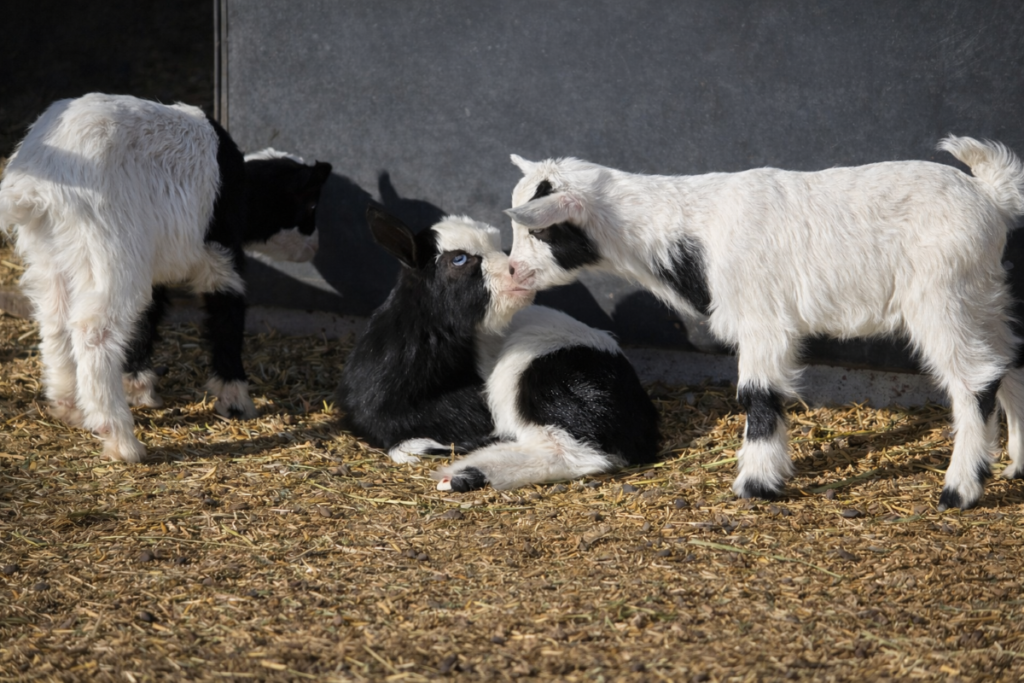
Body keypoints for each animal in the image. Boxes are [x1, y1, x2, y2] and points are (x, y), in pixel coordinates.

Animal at [0, 93, 332, 462]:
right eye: (310, 207)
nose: (315, 246)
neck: (239, 184)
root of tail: (35, 186)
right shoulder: (220, 253)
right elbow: (227, 313)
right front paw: (235, 399)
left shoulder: (155, 262)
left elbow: (148, 316)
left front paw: (138, 386)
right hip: (111, 251)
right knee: (93, 331)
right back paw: (120, 439)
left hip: (52, 256)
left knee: (55, 321)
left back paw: (68, 405)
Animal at [505, 137, 1024, 509]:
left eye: (539, 230)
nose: (511, 272)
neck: (690, 229)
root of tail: (990, 198)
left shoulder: (763, 318)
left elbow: (756, 395)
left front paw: (756, 483)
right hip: (983, 295)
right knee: (1009, 363)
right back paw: (1016, 466)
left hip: (941, 295)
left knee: (976, 380)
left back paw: (960, 490)